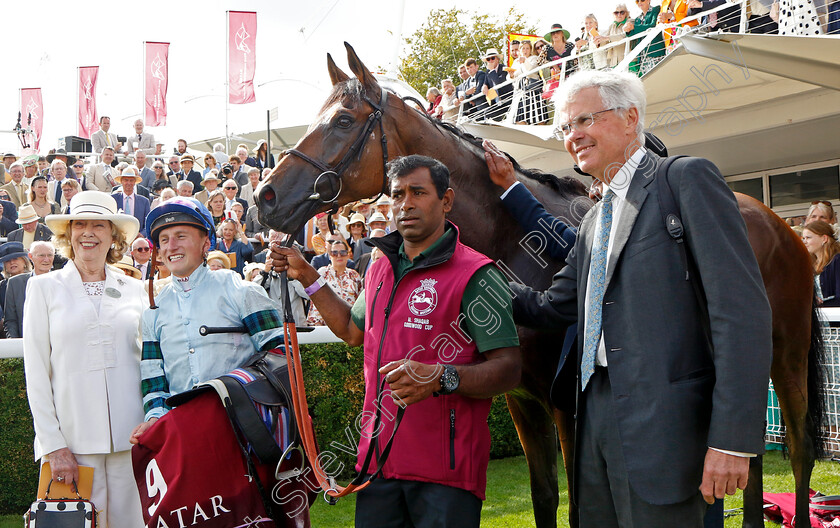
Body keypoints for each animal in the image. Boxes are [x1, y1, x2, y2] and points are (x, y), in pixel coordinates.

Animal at [254, 41, 820, 528]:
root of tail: (777, 223)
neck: (516, 241)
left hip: (786, 354)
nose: (264, 196)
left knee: (797, 450)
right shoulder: (522, 400)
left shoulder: (567, 402)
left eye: (343, 120)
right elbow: (545, 495)